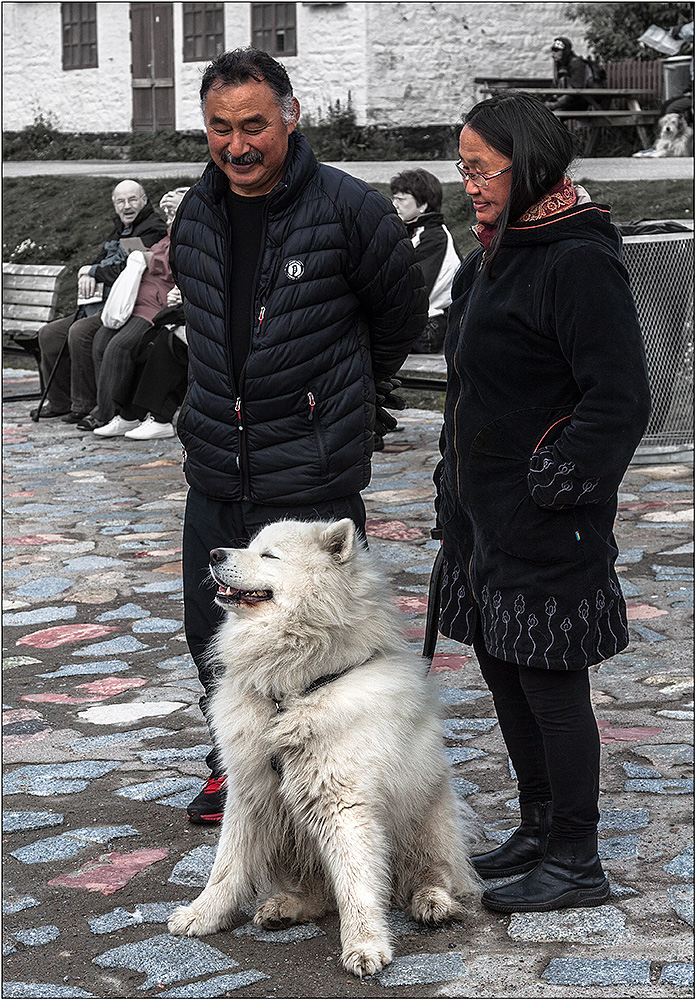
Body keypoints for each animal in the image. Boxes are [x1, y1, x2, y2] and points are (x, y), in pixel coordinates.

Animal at [167, 520, 478, 972]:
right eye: (250, 545)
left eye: (269, 555)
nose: (213, 554)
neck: (294, 690)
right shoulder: (248, 792)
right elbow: (226, 866)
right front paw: (202, 915)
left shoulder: (344, 801)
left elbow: (356, 881)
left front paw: (365, 945)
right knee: (318, 893)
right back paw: (283, 907)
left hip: (427, 815)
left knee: (430, 873)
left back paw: (432, 903)